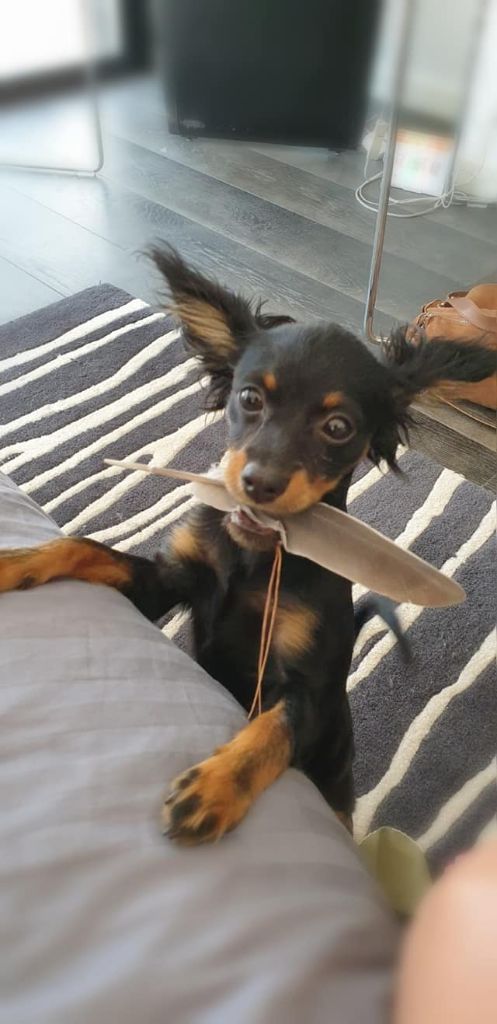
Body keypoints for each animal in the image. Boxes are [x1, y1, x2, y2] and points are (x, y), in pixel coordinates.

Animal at [0, 249, 494, 845]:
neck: (253, 553)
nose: (259, 483)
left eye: (338, 427)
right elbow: (86, 547)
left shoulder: (308, 692)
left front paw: (214, 788)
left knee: (339, 806)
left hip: (335, 761)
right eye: (250, 397)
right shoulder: (167, 583)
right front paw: (18, 561)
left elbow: (269, 732)